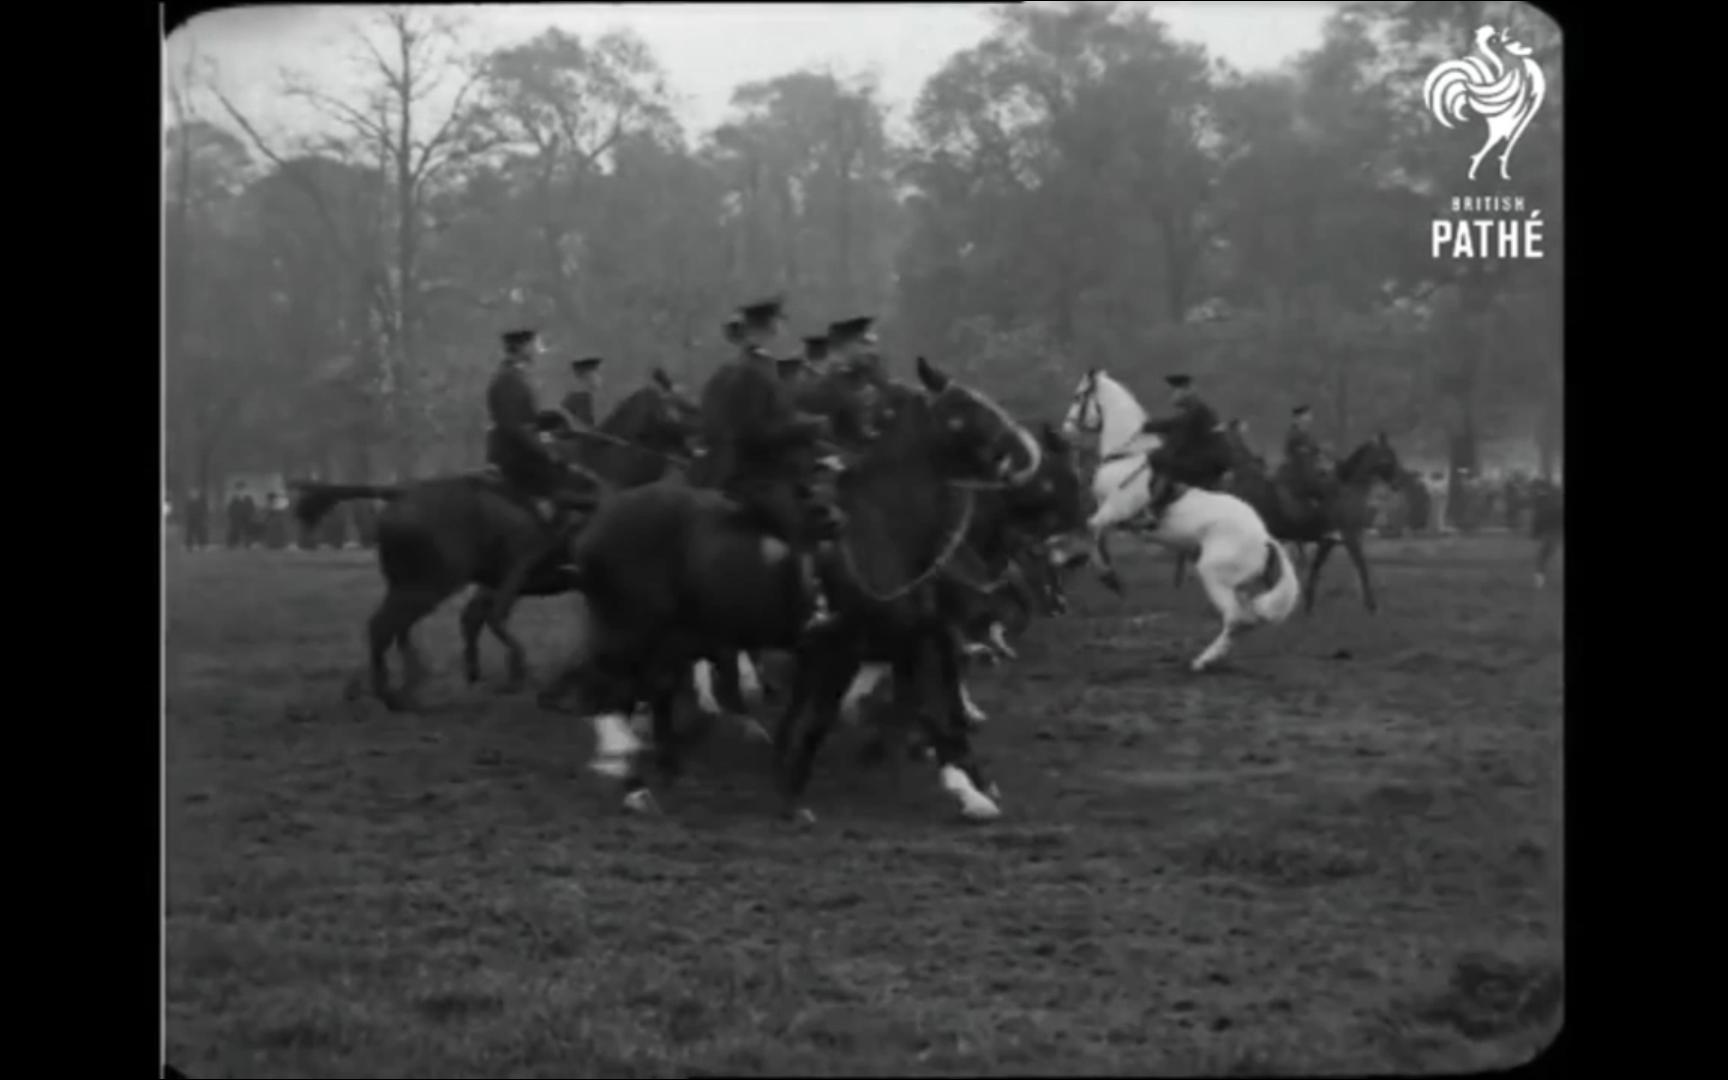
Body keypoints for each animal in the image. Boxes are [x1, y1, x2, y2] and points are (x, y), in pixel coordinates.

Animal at [292, 374, 701, 711]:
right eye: (681, 406)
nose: (700, 448)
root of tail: (401, 491)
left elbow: (483, 617)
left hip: (412, 585)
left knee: (397, 629)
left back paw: (402, 685)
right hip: (427, 586)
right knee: (384, 628)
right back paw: (393, 692)